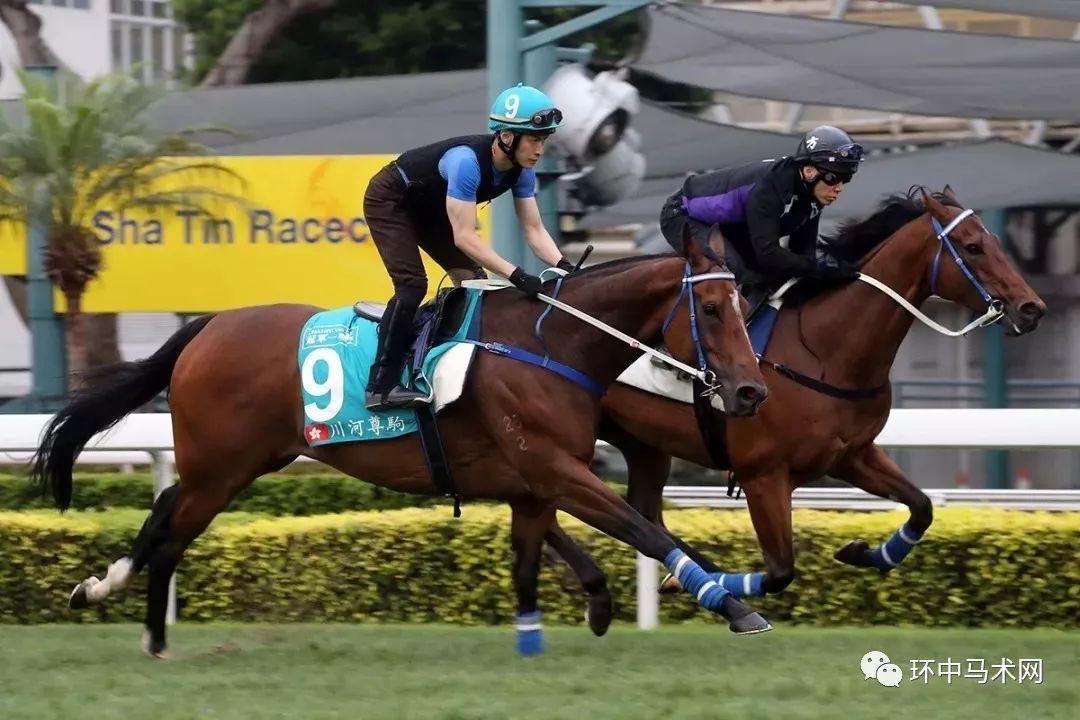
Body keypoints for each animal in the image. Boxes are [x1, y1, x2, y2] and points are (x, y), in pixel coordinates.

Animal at [31, 232, 768, 660]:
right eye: (711, 311)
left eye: (744, 306)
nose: (750, 391)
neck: (550, 345)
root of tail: (207, 327)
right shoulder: (554, 467)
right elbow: (645, 529)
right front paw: (732, 604)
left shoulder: (532, 478)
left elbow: (543, 549)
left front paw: (586, 608)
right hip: (221, 469)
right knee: (171, 529)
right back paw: (147, 630)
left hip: (233, 464)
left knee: (163, 517)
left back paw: (108, 595)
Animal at [548, 187, 1045, 626]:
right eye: (973, 247)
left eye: (995, 242)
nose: (1032, 308)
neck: (825, 351)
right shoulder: (763, 475)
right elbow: (780, 571)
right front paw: (706, 588)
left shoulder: (850, 455)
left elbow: (922, 507)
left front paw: (865, 553)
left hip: (642, 444)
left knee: (636, 511)